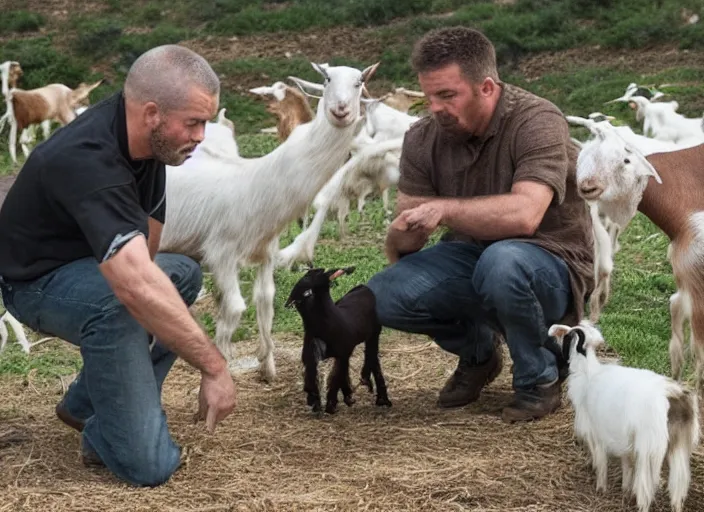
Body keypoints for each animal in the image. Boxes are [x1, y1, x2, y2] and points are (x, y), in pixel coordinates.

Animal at [284, 266, 390, 414]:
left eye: (308, 291)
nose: (289, 302)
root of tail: (364, 287)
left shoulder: (342, 352)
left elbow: (335, 378)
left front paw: (331, 405)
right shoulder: (310, 356)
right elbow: (312, 379)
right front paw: (315, 402)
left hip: (373, 334)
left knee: (372, 357)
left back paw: (379, 396)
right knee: (371, 359)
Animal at [552, 322, 700, 512]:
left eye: (566, 337)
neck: (588, 371)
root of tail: (673, 396)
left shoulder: (596, 432)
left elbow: (600, 462)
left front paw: (601, 488)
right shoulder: (623, 438)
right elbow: (626, 464)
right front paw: (625, 489)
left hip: (648, 448)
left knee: (645, 490)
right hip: (679, 445)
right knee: (678, 487)